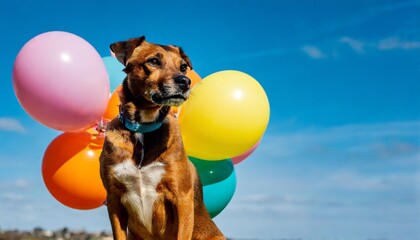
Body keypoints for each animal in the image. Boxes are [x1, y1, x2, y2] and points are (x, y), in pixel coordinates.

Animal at [99, 36, 226, 240]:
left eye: (183, 66)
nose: (185, 81)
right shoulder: (114, 199)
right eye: (153, 61)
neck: (143, 129)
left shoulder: (181, 198)